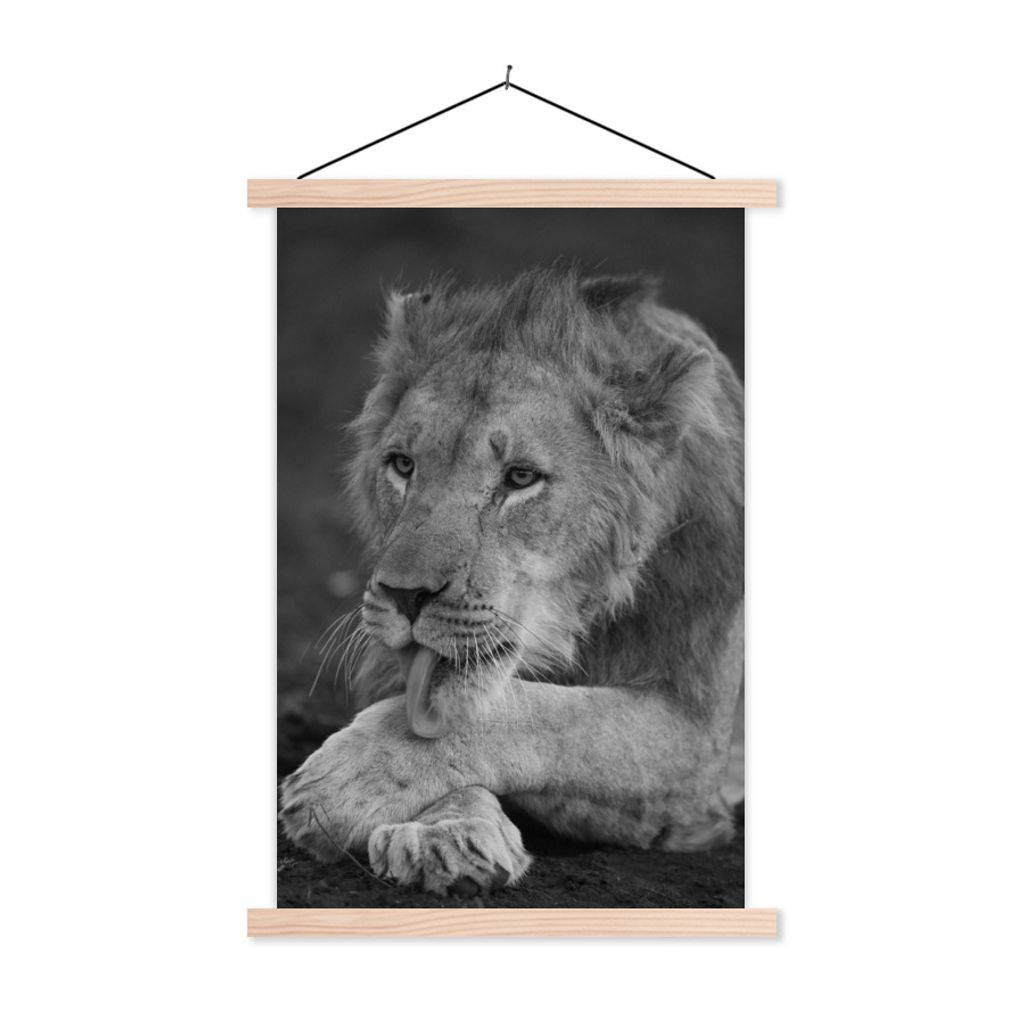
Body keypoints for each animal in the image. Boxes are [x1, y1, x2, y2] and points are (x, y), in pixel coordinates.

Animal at [280, 266, 744, 897]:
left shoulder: (697, 749)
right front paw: (447, 832)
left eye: (520, 478)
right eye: (402, 465)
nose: (404, 596)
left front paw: (347, 780)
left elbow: (555, 716)